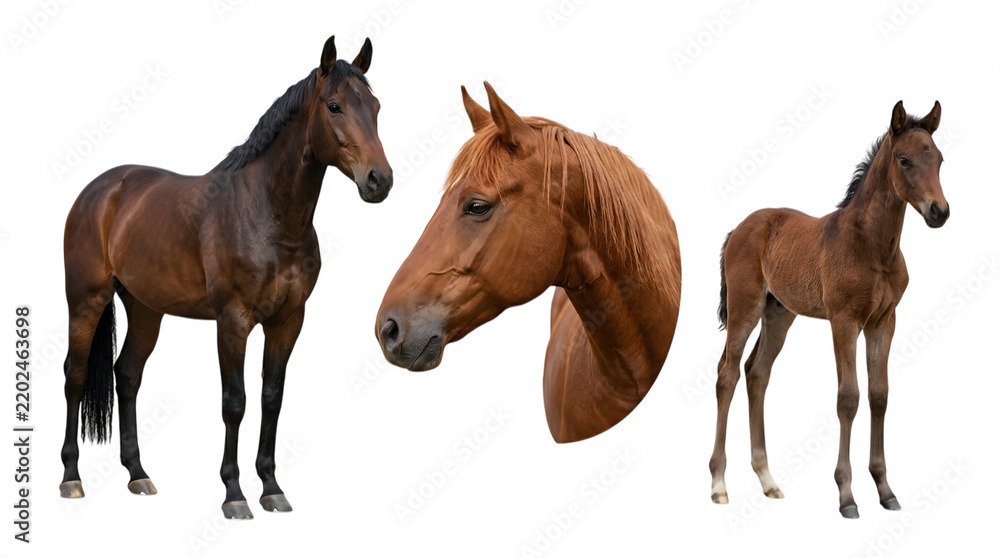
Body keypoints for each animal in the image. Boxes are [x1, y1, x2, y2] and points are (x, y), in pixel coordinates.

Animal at [60, 35, 392, 519]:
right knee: (76, 376)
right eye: (334, 106)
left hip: (146, 309)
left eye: (376, 106)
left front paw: (271, 487)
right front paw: (234, 494)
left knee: (128, 374)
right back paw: (71, 478)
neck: (267, 215)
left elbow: (272, 397)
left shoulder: (288, 321)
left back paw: (138, 474)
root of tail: (99, 190)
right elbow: (235, 402)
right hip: (86, 301)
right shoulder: (232, 322)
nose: (379, 180)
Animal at [710, 101, 949, 518]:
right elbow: (848, 397)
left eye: (939, 159)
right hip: (745, 308)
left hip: (779, 314)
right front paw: (847, 496)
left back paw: (767, 480)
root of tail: (739, 227)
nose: (940, 211)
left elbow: (879, 395)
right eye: (904, 160)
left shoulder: (884, 322)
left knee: (757, 373)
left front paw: (885, 490)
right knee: (728, 373)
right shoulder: (844, 321)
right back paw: (719, 484)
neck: (872, 246)